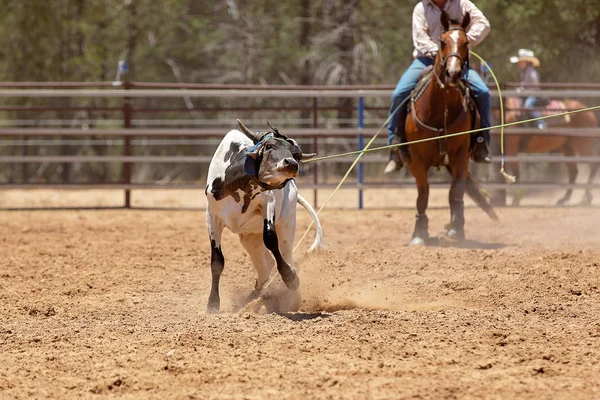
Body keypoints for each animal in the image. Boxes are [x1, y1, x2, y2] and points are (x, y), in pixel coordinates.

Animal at [204, 120, 324, 314]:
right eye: (269, 146)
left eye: (297, 155)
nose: (290, 163)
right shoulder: (212, 216)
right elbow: (217, 261)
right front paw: (213, 304)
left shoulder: (268, 202)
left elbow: (270, 239)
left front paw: (290, 278)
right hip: (249, 239)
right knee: (265, 269)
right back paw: (252, 300)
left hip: (286, 227)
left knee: (285, 256)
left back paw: (289, 299)